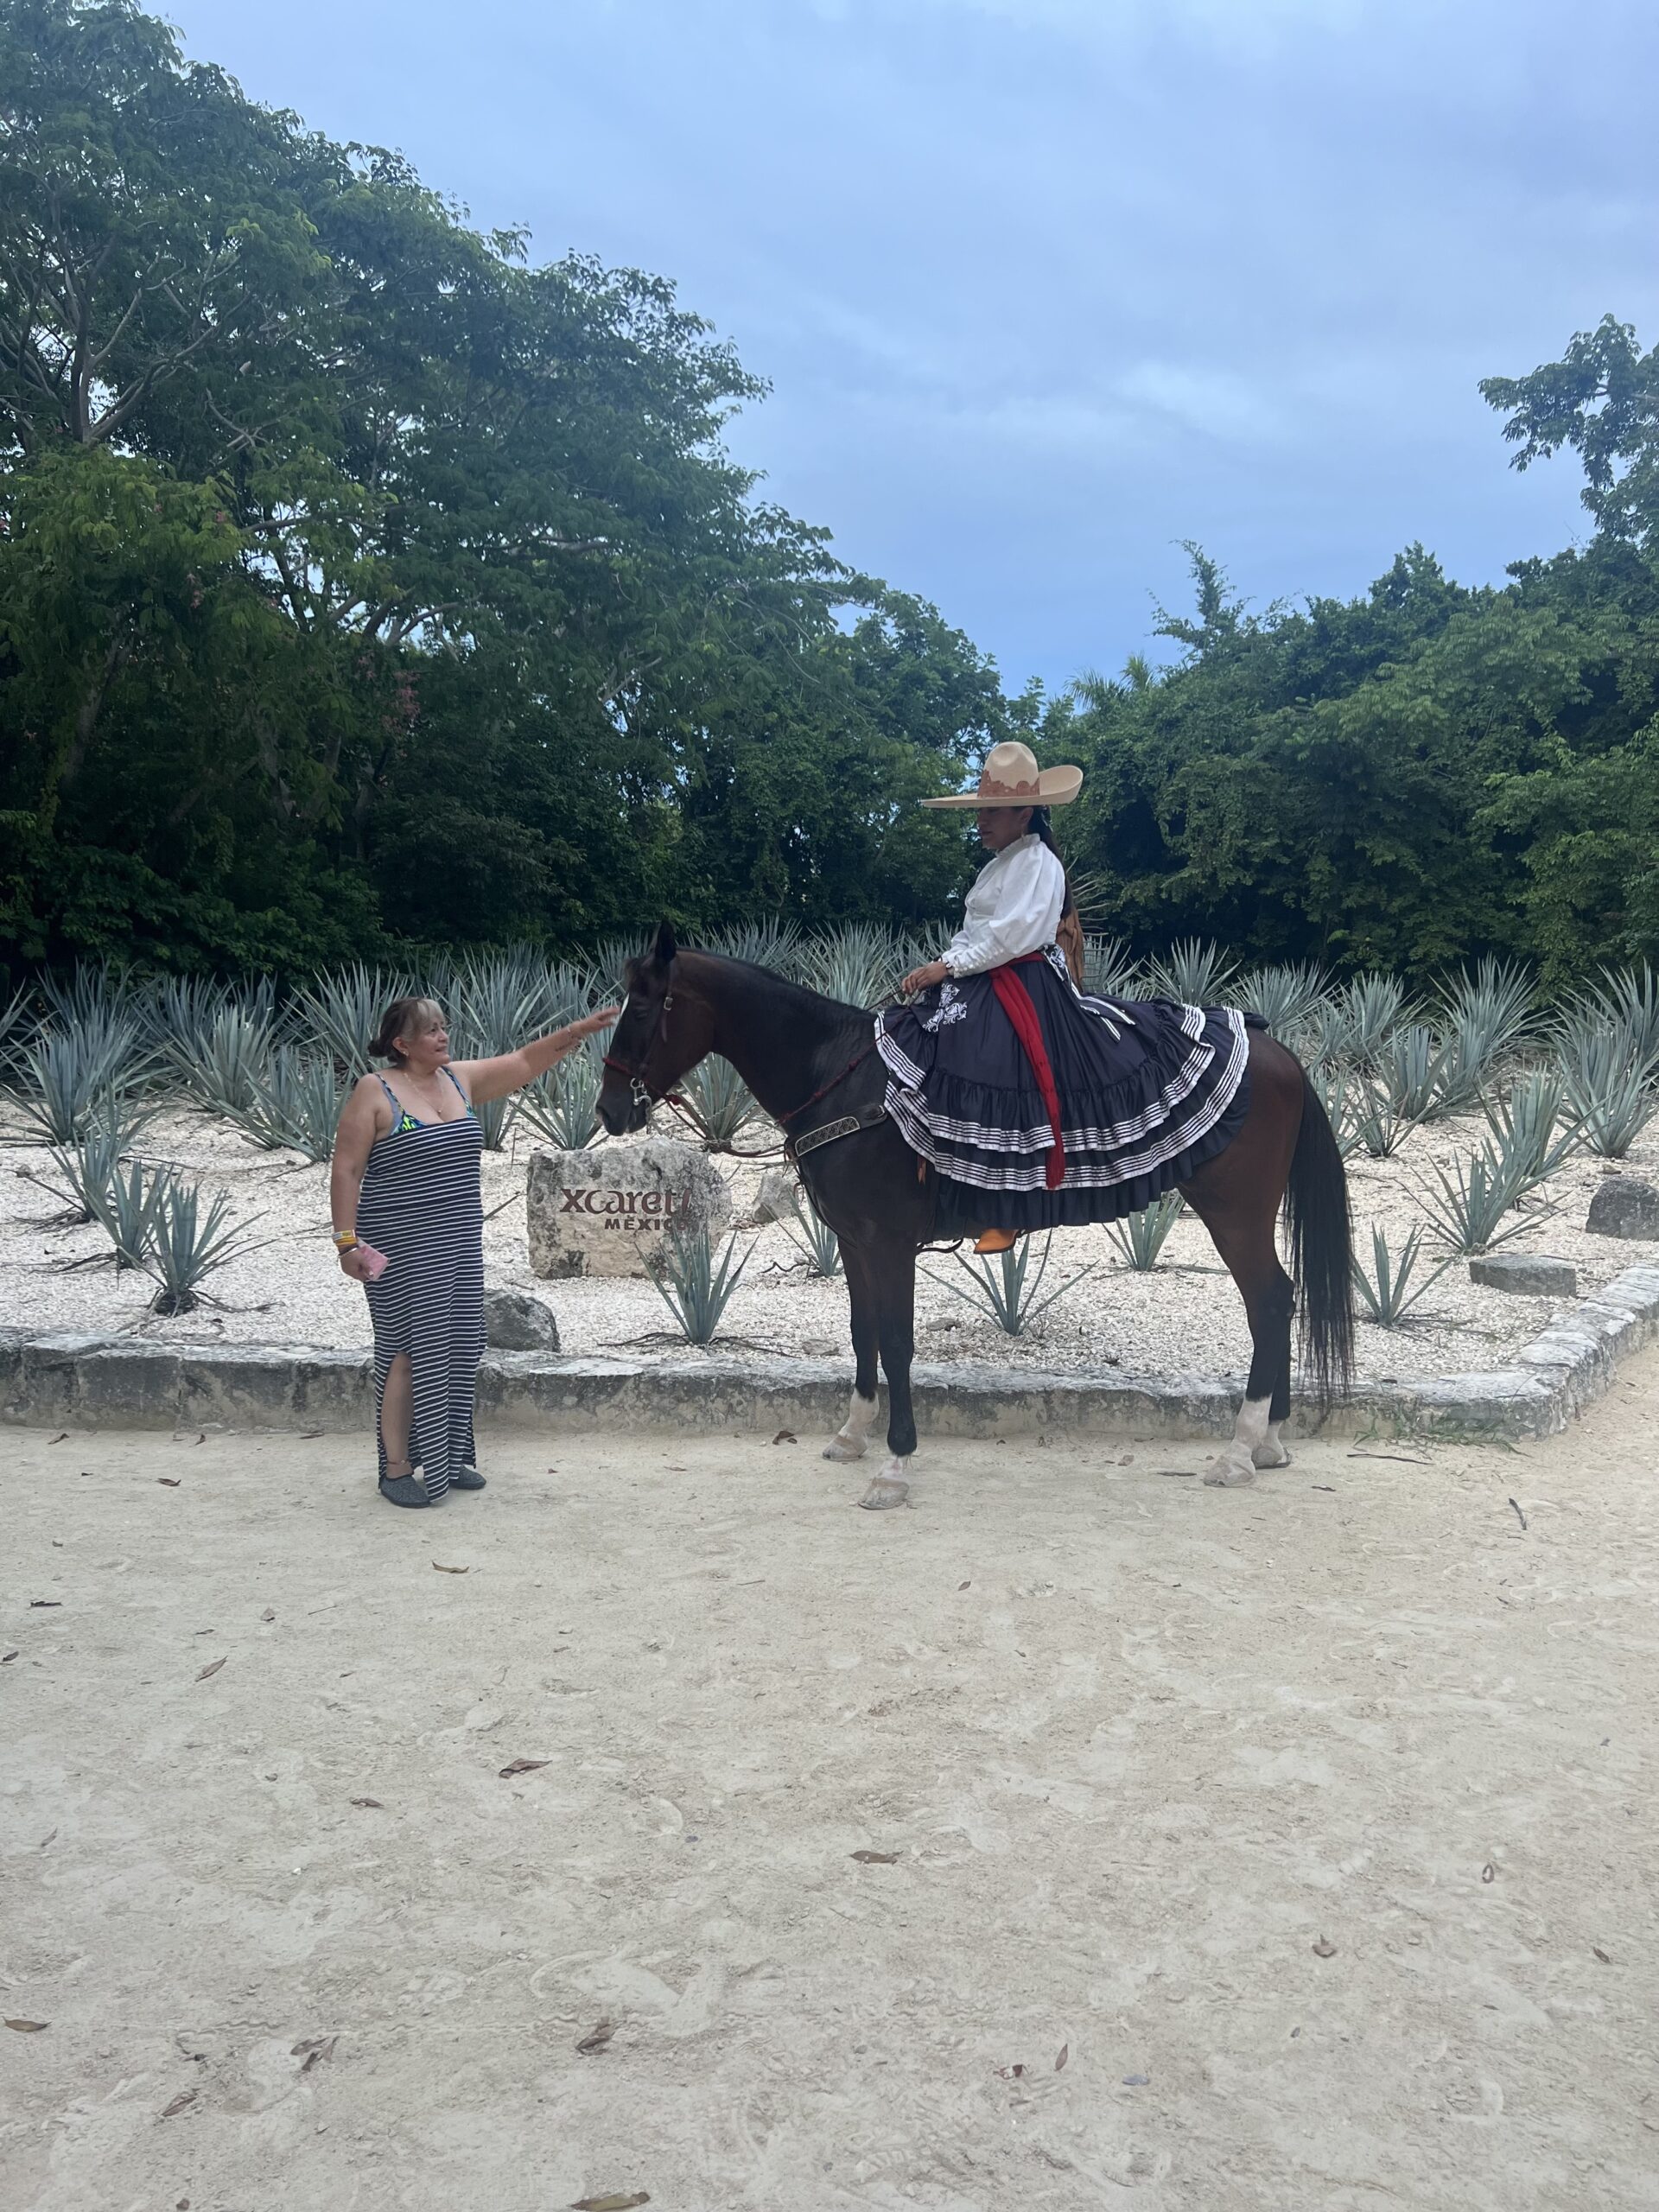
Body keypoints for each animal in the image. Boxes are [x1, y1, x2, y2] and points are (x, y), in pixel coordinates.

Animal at [606, 915, 1353, 1503]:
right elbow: (862, 1333)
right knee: (1280, 1300)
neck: (841, 1079)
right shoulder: (852, 1240)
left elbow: (898, 1343)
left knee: (1268, 1301)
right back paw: (1270, 1441)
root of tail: (1280, 1051)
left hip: (1234, 1212)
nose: (609, 1111)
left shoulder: (887, 1242)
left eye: (641, 1009)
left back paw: (1240, 1449)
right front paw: (852, 1435)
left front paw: (896, 1465)